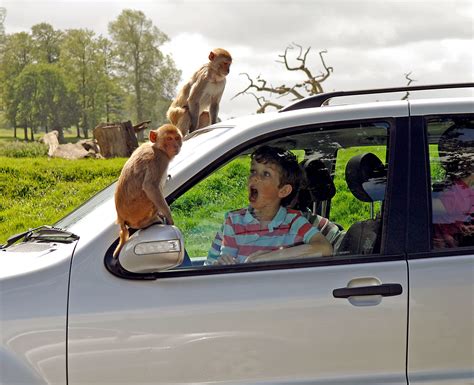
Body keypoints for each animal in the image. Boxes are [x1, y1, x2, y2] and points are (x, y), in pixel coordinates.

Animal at [113, 124, 183, 256]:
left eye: (177, 138)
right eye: (169, 139)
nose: (176, 145)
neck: (156, 146)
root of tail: (121, 219)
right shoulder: (159, 159)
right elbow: (150, 187)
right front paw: (169, 218)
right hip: (138, 210)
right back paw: (146, 222)